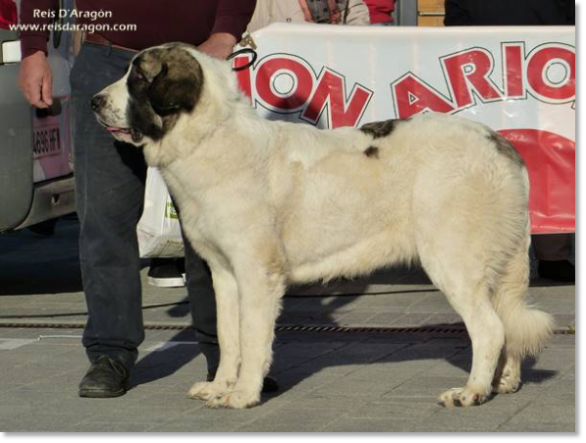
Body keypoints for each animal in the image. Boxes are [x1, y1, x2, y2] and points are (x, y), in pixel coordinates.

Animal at [92, 43, 552, 412]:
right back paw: (505, 382)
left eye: (138, 77)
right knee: (508, 321)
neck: (209, 137)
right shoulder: (223, 273)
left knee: (490, 328)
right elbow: (227, 335)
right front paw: (220, 386)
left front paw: (243, 394)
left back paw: (472, 391)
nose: (94, 101)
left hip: (452, 260)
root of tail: (498, 142)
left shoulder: (256, 274)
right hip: (499, 264)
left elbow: (251, 336)